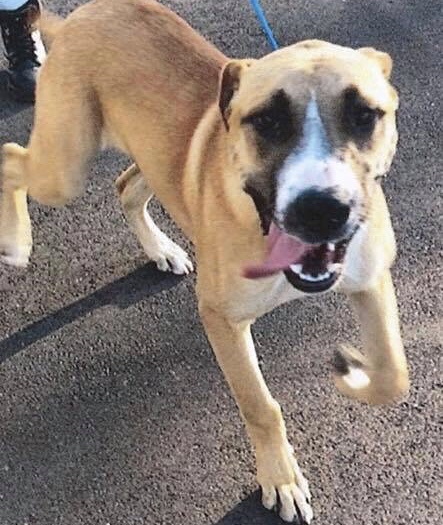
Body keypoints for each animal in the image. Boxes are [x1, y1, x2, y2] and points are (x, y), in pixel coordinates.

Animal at [0, 0, 409, 522]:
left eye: (364, 115)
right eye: (267, 121)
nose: (321, 209)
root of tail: (88, 11)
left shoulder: (370, 278)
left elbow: (394, 373)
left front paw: (356, 372)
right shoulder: (221, 318)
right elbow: (260, 405)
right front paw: (281, 479)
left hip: (148, 154)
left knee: (125, 185)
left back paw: (162, 249)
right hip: (64, 164)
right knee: (11, 156)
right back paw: (15, 239)